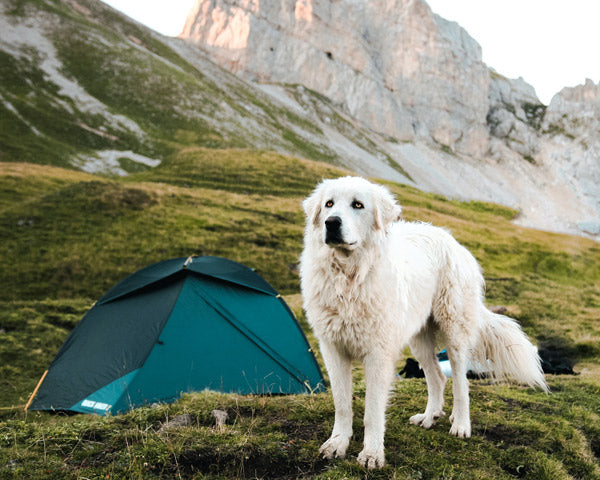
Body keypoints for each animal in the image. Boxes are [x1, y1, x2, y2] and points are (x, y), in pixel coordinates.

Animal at [300, 177, 548, 468]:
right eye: (329, 204)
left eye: (357, 205)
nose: (331, 223)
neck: (349, 278)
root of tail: (452, 240)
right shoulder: (332, 348)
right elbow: (341, 404)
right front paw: (337, 444)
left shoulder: (378, 354)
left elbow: (373, 411)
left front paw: (372, 453)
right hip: (418, 339)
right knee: (438, 377)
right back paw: (430, 417)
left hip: (454, 332)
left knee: (461, 383)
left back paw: (461, 425)